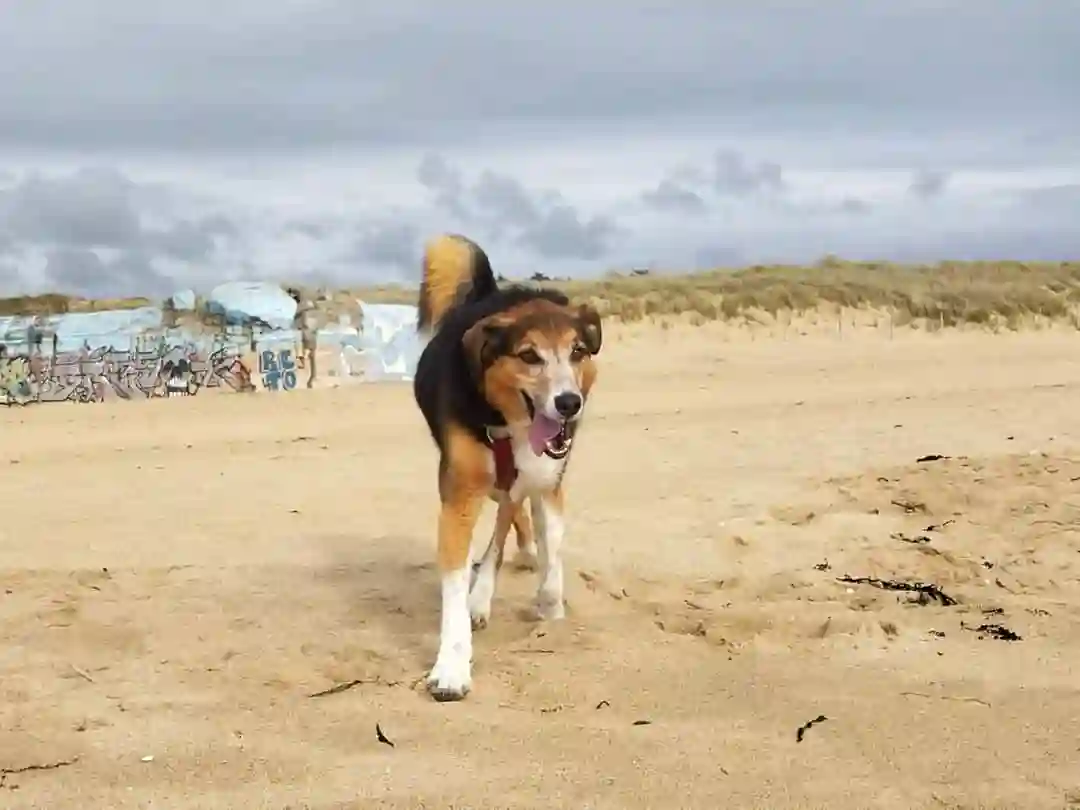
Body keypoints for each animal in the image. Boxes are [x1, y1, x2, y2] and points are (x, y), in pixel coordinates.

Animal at [412, 234, 604, 704]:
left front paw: (551, 610)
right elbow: (455, 586)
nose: (569, 404)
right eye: (528, 355)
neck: (508, 420)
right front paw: (451, 668)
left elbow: (551, 556)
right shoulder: (460, 494)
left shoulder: (547, 480)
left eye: (578, 351)